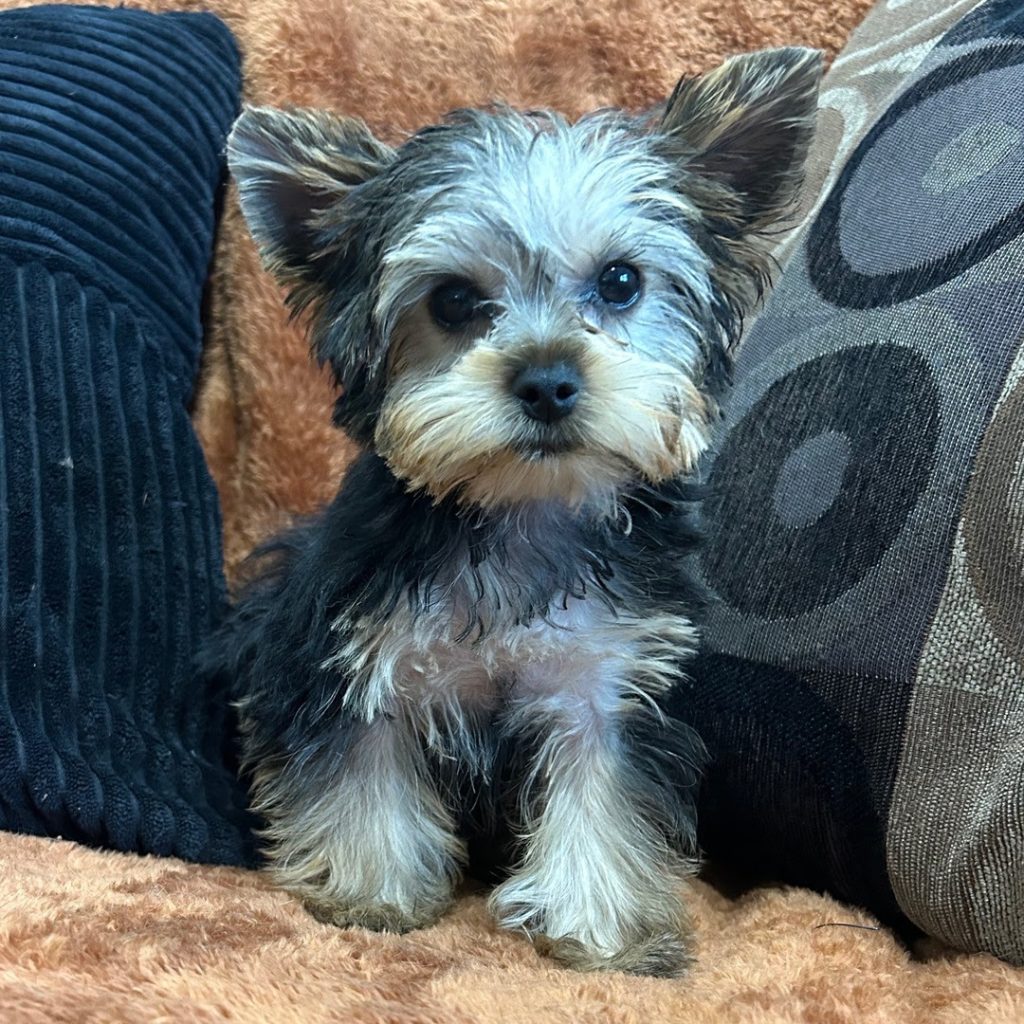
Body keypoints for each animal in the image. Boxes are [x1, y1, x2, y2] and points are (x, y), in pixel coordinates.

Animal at [207, 46, 821, 977]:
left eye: (620, 282)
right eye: (454, 301)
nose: (547, 380)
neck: (519, 512)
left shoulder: (606, 677)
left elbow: (602, 789)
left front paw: (600, 926)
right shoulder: (352, 655)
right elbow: (361, 770)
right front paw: (370, 891)